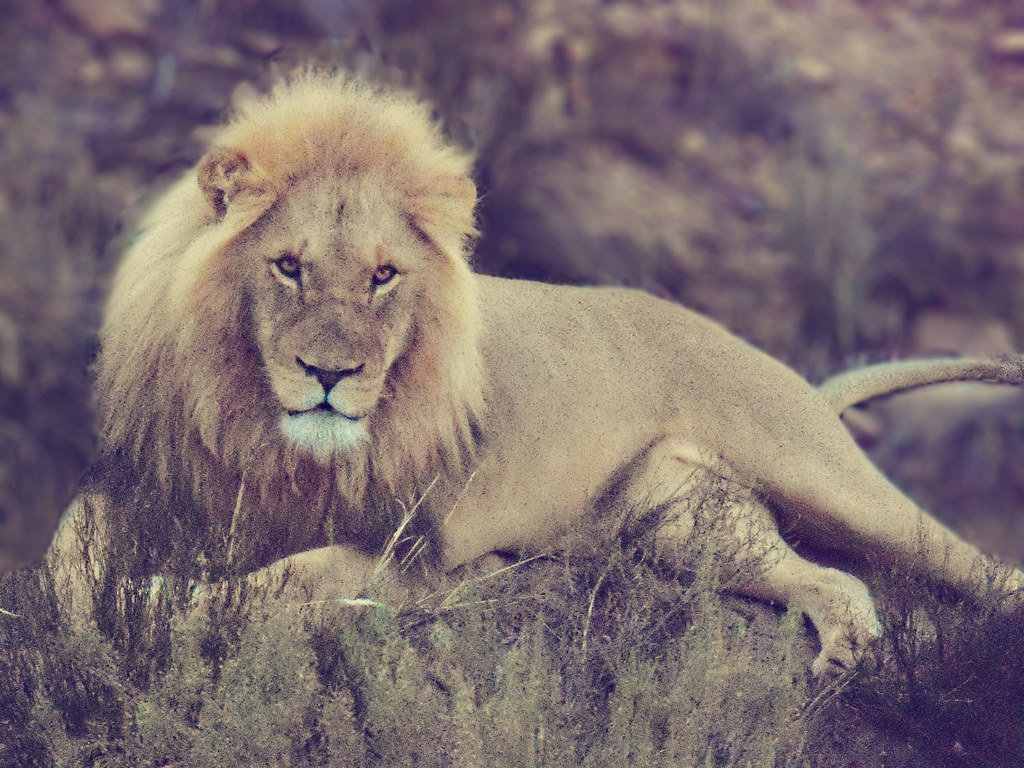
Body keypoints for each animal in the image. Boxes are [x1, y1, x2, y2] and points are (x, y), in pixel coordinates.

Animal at [56, 72, 1024, 676]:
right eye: (288, 267)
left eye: (383, 276)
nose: (330, 374)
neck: (267, 431)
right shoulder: (151, 485)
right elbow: (67, 554)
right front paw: (105, 602)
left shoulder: (413, 549)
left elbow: (288, 578)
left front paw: (177, 599)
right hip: (677, 523)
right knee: (832, 580)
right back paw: (847, 651)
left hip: (821, 477)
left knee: (973, 570)